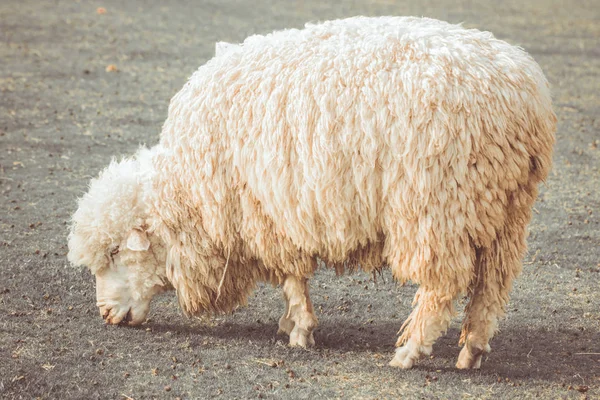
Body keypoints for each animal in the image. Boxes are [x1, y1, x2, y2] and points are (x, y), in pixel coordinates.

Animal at [68, 17, 556, 370]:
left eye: (115, 252)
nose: (106, 316)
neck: (189, 194)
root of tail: (524, 96)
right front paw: (291, 325)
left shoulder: (269, 213)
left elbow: (292, 279)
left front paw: (299, 331)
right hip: (505, 213)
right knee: (491, 288)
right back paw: (471, 351)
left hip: (436, 207)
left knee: (441, 288)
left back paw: (408, 353)